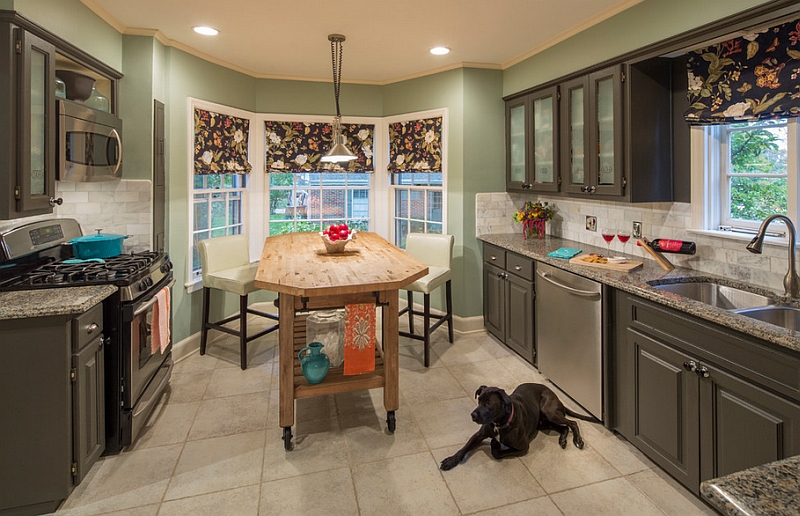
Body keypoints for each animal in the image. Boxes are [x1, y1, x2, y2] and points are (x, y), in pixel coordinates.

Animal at [438, 382, 592, 472]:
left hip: (549, 411)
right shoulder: (479, 435)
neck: (499, 423)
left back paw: (578, 441)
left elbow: (498, 453)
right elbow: (463, 449)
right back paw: (562, 440)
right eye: (479, 400)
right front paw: (451, 461)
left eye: (489, 403)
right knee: (564, 427)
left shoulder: (524, 447)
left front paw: (495, 444)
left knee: (572, 423)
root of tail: (556, 396)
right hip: (544, 423)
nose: (473, 415)